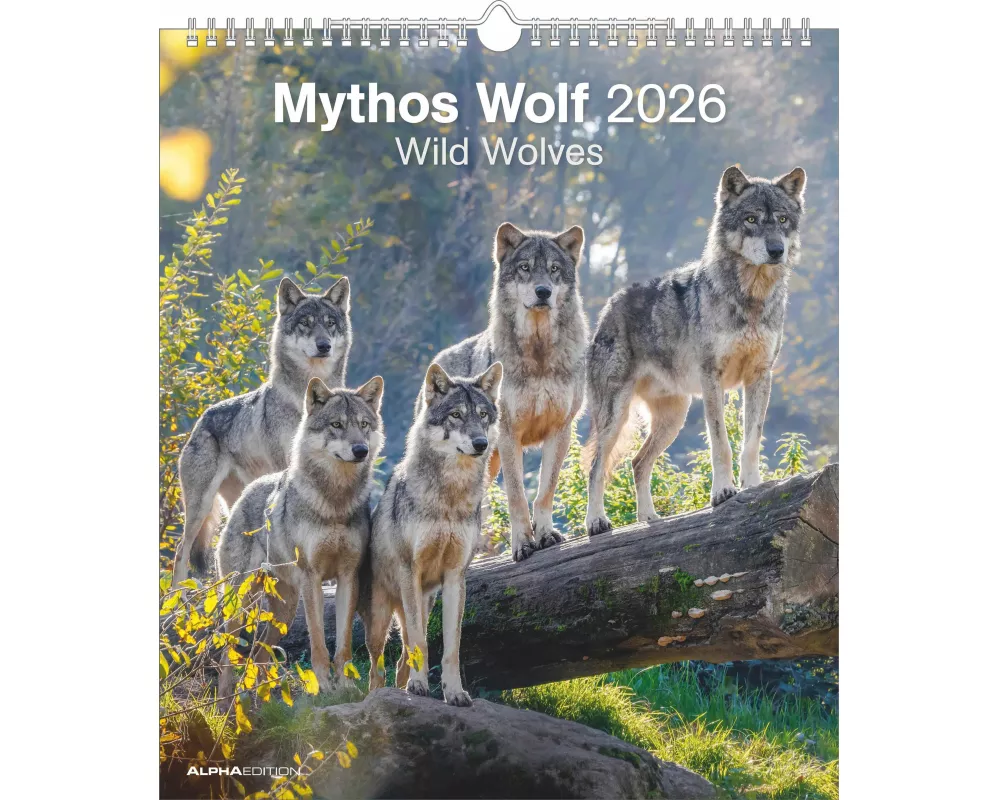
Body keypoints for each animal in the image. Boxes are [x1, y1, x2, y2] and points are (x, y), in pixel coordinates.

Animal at [171, 277, 352, 587]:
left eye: (330, 323)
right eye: (305, 323)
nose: (324, 345)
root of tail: (201, 419)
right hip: (200, 507)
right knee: (181, 553)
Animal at [215, 375, 384, 697]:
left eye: (364, 424)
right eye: (336, 424)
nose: (361, 450)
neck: (334, 503)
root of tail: (247, 491)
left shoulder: (348, 576)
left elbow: (343, 644)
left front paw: (344, 686)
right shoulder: (312, 576)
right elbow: (318, 641)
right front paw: (324, 687)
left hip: (285, 610)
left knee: (260, 653)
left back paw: (264, 697)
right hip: (242, 604)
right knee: (228, 655)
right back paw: (225, 699)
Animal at [362, 362, 503, 706]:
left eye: (483, 414)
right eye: (456, 415)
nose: (480, 443)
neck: (449, 499)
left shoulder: (455, 576)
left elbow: (451, 647)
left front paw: (454, 692)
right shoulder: (410, 569)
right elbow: (421, 644)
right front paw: (419, 687)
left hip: (422, 604)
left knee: (402, 656)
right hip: (381, 620)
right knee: (377, 665)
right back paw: (379, 694)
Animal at [430, 223, 588, 561]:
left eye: (554, 270)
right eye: (525, 268)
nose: (543, 291)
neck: (539, 355)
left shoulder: (560, 431)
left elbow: (544, 491)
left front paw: (545, 535)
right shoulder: (508, 434)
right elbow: (516, 497)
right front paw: (522, 543)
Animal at [584, 166, 807, 535]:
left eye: (783, 220)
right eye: (751, 219)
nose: (776, 250)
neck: (751, 299)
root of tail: (608, 306)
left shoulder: (759, 377)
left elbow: (751, 442)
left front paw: (754, 485)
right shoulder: (712, 378)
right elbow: (721, 444)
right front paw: (723, 492)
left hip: (674, 417)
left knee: (638, 462)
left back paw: (649, 518)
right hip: (615, 416)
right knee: (595, 466)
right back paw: (596, 522)